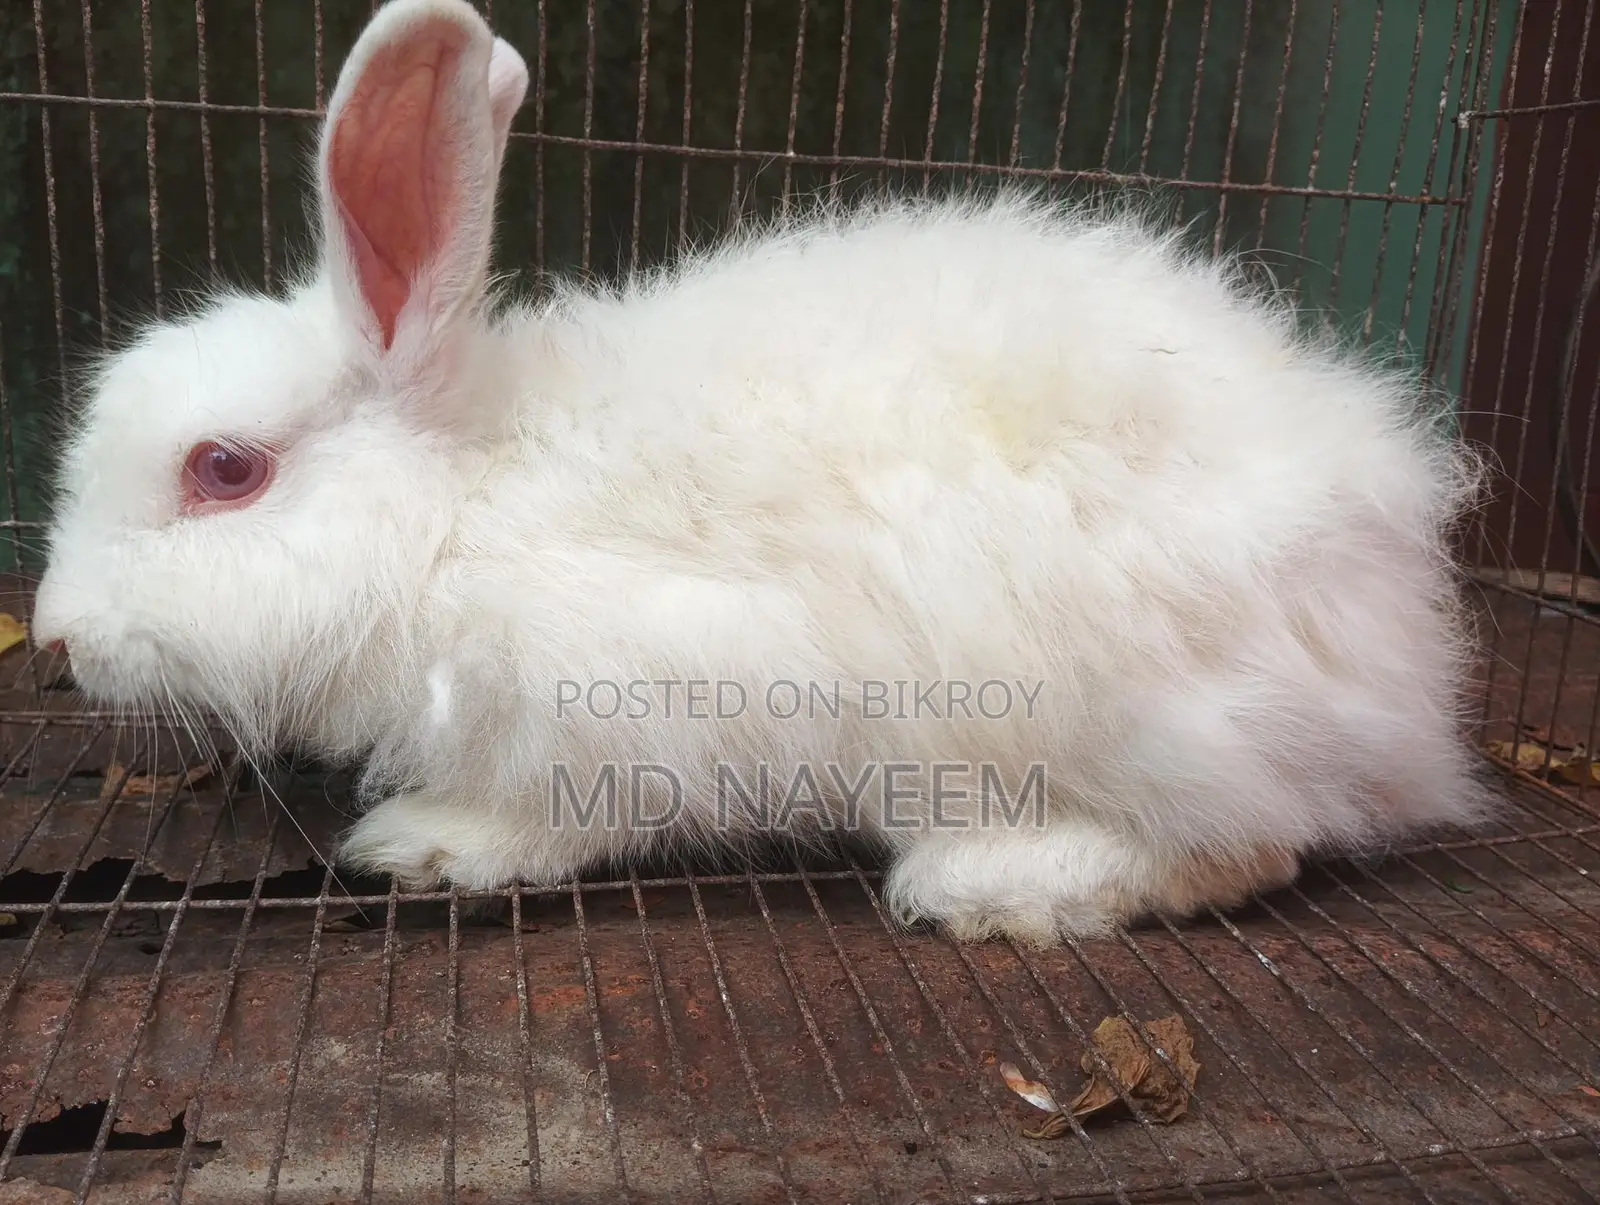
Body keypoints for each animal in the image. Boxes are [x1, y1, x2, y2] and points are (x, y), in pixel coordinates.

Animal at [30, 0, 1494, 946]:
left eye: (225, 469)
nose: (53, 635)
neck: (456, 508)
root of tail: (1409, 664)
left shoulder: (634, 699)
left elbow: (567, 815)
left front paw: (434, 845)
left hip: (1122, 710)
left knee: (1249, 843)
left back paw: (998, 883)